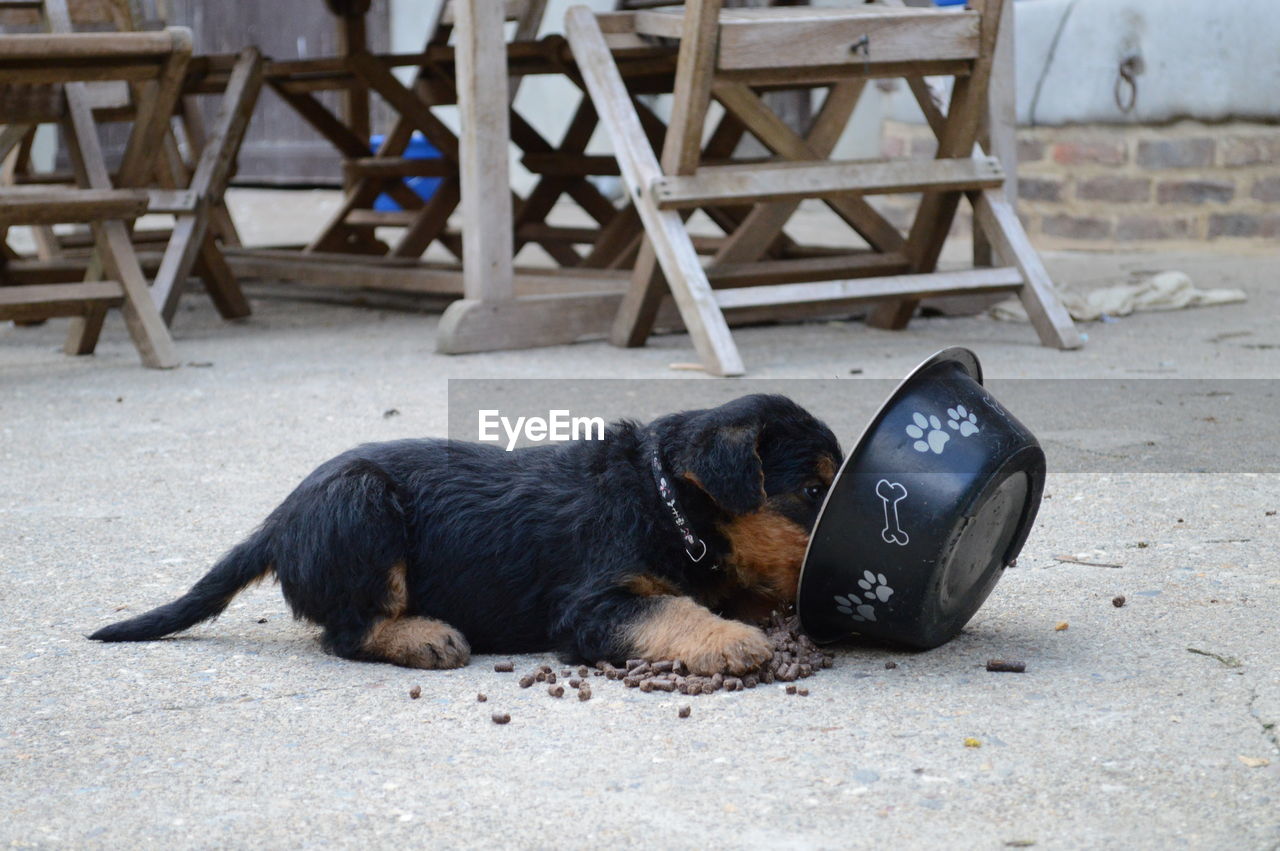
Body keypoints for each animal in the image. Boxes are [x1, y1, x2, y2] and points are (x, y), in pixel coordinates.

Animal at [94, 394, 844, 675]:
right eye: (813, 491)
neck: (666, 504)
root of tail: (279, 521)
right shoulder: (591, 605)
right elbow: (667, 609)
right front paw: (733, 640)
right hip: (360, 505)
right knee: (348, 631)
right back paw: (426, 637)